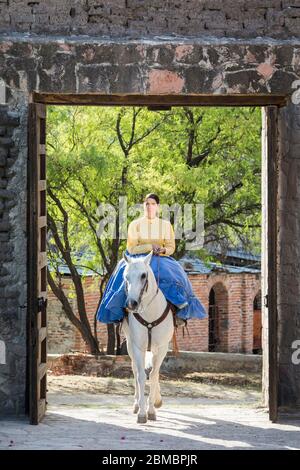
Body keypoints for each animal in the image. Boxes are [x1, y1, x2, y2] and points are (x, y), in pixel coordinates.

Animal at [121, 252, 175, 424]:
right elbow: (141, 376)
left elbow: (154, 375)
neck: (150, 314)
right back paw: (136, 404)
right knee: (135, 370)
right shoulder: (138, 347)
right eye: (126, 276)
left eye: (143, 275)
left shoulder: (162, 348)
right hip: (130, 345)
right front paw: (142, 412)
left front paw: (152, 409)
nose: (131, 303)